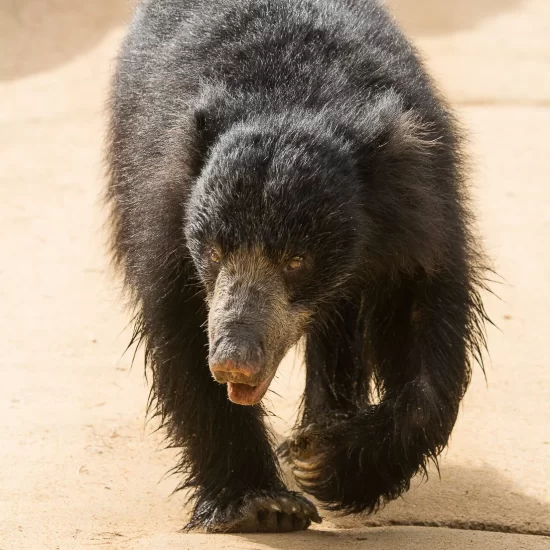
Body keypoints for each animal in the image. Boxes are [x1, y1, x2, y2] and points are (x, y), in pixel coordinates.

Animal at [105, 0, 490, 536]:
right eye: (215, 252)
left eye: (296, 261)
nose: (234, 359)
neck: (293, 98)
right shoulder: (161, 199)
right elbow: (180, 329)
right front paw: (262, 505)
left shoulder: (423, 207)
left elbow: (423, 324)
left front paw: (325, 460)